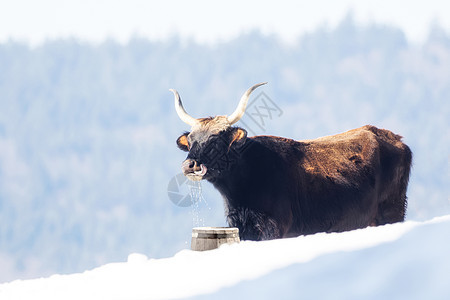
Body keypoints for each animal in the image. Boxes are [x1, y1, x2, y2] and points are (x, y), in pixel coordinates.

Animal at [171, 82, 414, 241]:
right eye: (191, 141)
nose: (190, 165)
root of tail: (394, 137)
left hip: (392, 211)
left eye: (216, 140)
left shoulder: (273, 229)